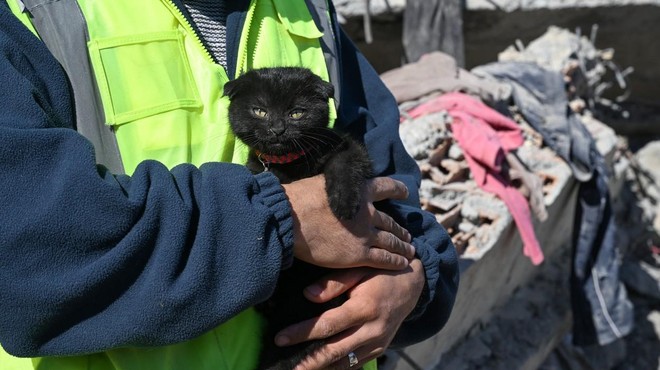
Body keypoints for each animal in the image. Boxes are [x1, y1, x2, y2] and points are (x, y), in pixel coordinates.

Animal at [226, 67, 372, 370]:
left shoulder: (348, 147)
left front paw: (343, 203)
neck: (289, 164)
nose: (277, 128)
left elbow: (343, 163)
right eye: (260, 110)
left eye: (296, 113)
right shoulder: (258, 172)